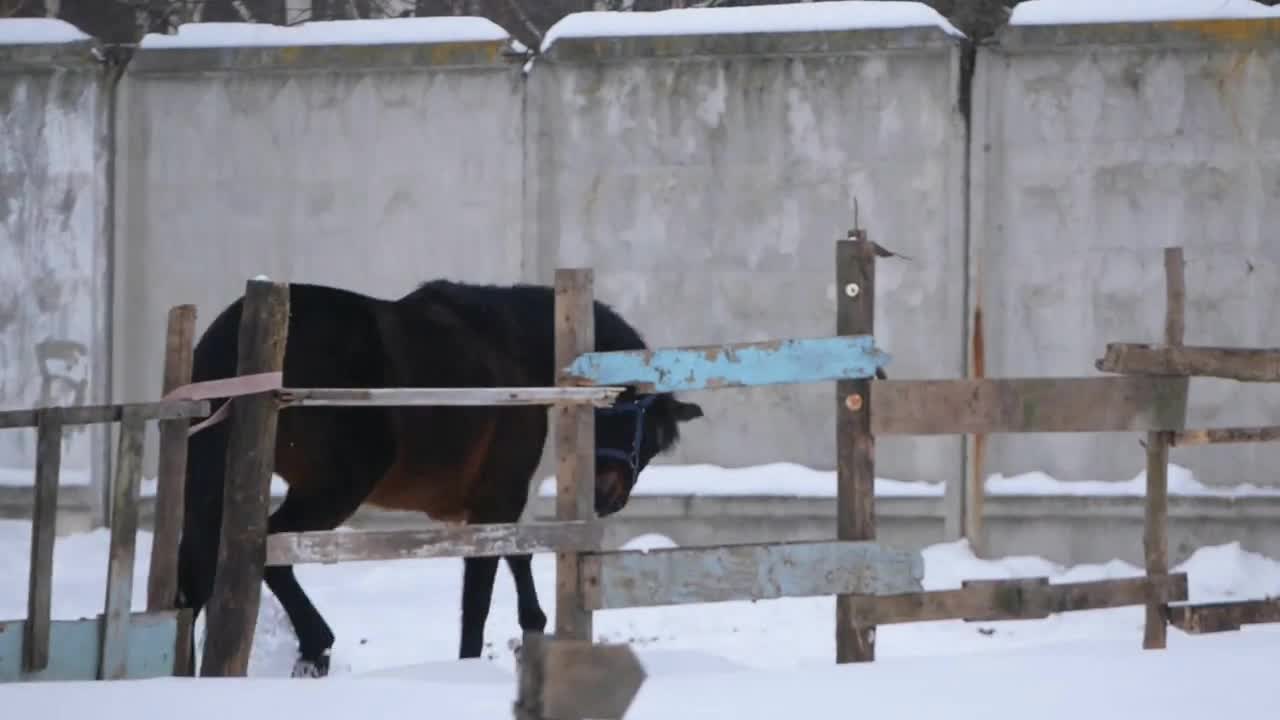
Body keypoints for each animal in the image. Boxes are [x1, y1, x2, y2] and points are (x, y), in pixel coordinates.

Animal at [172, 278, 701, 676]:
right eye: (647, 433)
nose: (608, 497)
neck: (512, 346)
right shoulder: (498, 495)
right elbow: (480, 595)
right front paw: (468, 666)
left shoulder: (488, 503)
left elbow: (517, 557)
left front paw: (531, 628)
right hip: (335, 486)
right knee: (266, 552)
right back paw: (315, 644)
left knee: (198, 570)